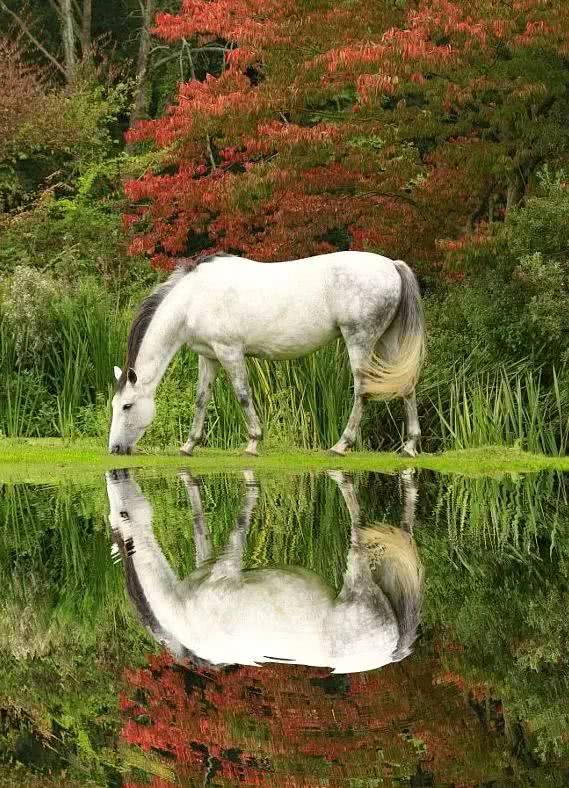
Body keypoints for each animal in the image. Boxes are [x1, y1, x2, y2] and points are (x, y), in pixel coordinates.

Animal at [105, 470, 422, 676]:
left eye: (121, 514)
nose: (117, 477)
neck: (184, 613)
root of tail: (389, 652)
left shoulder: (225, 568)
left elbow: (242, 518)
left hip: (358, 579)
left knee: (357, 521)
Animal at [108, 252, 424, 456]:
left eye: (126, 406)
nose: (114, 449)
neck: (192, 299)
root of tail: (392, 265)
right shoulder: (209, 356)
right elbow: (201, 399)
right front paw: (189, 445)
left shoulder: (230, 352)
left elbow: (242, 395)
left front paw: (253, 443)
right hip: (387, 343)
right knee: (406, 386)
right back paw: (409, 446)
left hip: (360, 340)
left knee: (362, 389)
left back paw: (341, 445)